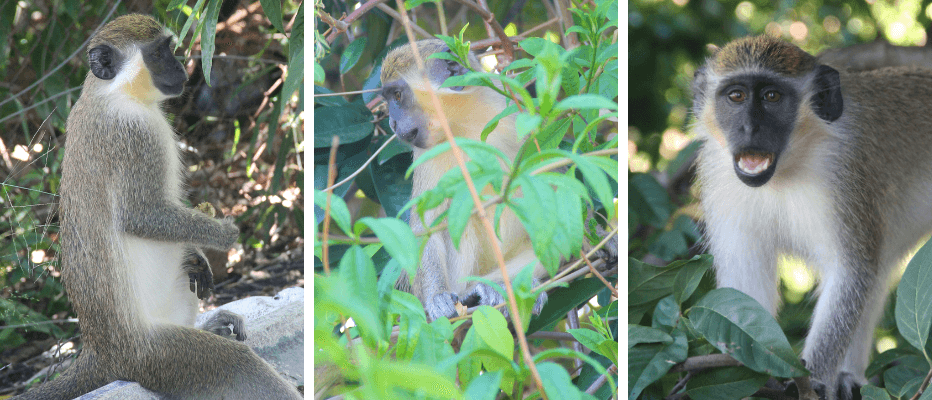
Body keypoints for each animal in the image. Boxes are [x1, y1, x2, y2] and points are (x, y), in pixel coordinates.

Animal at [13, 14, 302, 398]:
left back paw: (210, 322)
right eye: (158, 53)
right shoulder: (134, 137)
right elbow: (142, 216)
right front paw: (221, 234)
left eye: (170, 47)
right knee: (236, 363)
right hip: (153, 356)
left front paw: (199, 254)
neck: (113, 94)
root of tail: (100, 351)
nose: (181, 68)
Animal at [378, 39, 620, 322]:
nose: (392, 123)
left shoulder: (513, 114)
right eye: (389, 98)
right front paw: (436, 297)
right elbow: (426, 225)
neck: (462, 120)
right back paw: (476, 294)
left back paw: (507, 287)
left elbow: (553, 179)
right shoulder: (426, 153)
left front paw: (600, 237)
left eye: (397, 96)